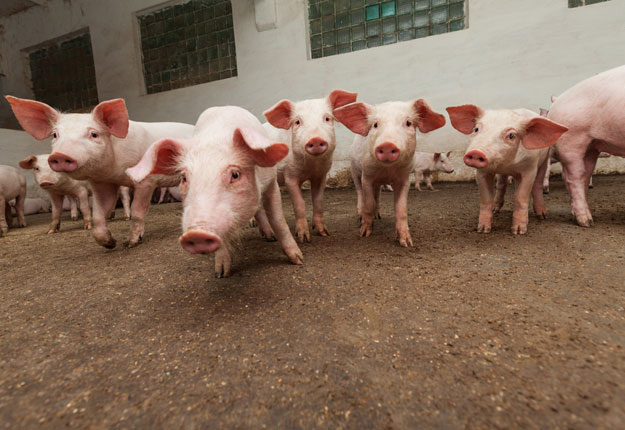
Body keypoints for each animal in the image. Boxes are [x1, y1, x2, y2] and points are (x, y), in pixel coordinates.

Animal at [6, 94, 193, 249]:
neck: (113, 172)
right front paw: (110, 243)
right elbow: (98, 214)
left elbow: (137, 212)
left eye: (94, 134)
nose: (59, 156)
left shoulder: (146, 181)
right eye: (55, 135)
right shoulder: (102, 183)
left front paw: (130, 243)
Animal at [126, 106, 302, 278]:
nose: (196, 233)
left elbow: (278, 220)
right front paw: (221, 274)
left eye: (235, 174)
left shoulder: (271, 182)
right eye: (183, 178)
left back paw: (270, 237)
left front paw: (298, 259)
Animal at [262, 89, 358, 244]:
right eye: (297, 122)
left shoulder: (321, 175)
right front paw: (303, 239)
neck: (311, 166)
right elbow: (299, 204)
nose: (316, 139)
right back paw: (270, 236)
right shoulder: (290, 176)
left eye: (327, 118)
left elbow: (318, 201)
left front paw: (324, 233)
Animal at [334, 98, 446, 245]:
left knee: (377, 195)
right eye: (375, 124)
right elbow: (368, 203)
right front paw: (364, 234)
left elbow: (401, 209)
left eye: (408, 123)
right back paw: (360, 217)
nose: (387, 145)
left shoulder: (404, 178)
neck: (387, 170)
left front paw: (406, 242)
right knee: (359, 193)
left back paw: (378, 215)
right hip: (354, 170)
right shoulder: (367, 176)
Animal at [446, 104, 568, 235]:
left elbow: (520, 197)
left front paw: (518, 231)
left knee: (537, 185)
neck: (508, 164)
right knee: (501, 184)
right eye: (476, 129)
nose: (476, 152)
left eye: (511, 136)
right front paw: (483, 230)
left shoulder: (529, 168)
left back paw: (542, 215)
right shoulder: (482, 172)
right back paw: (496, 209)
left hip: (545, 159)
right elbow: (486, 198)